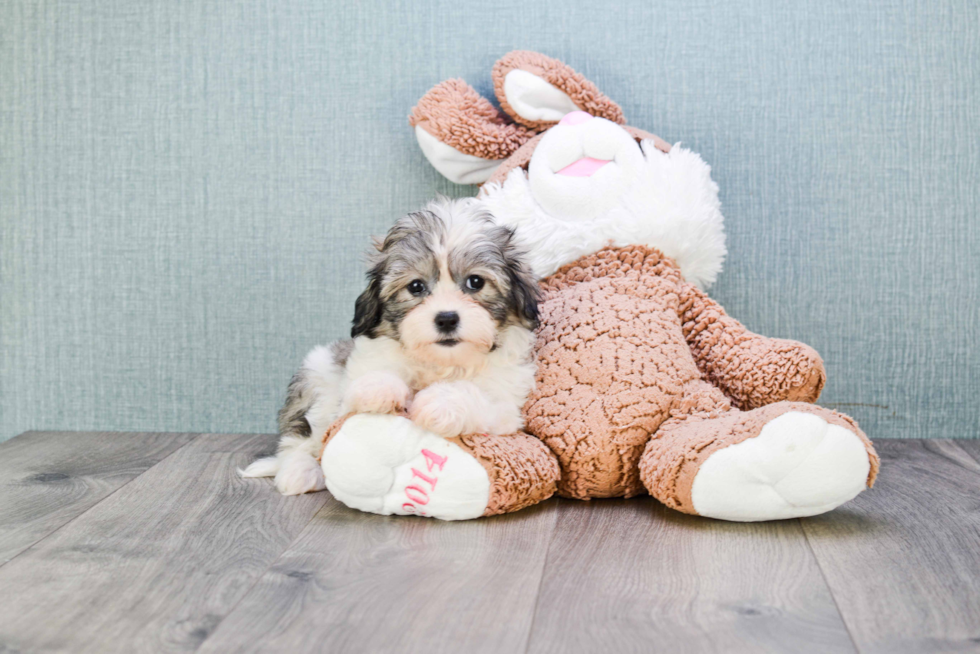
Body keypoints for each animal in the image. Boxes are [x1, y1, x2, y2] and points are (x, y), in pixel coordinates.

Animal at [241, 200, 540, 498]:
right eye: (416, 286)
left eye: (475, 282)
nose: (446, 318)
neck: (439, 362)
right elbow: (370, 379)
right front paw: (378, 389)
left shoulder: (505, 404)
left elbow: (475, 394)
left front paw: (441, 403)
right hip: (318, 370)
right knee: (301, 438)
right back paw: (299, 471)